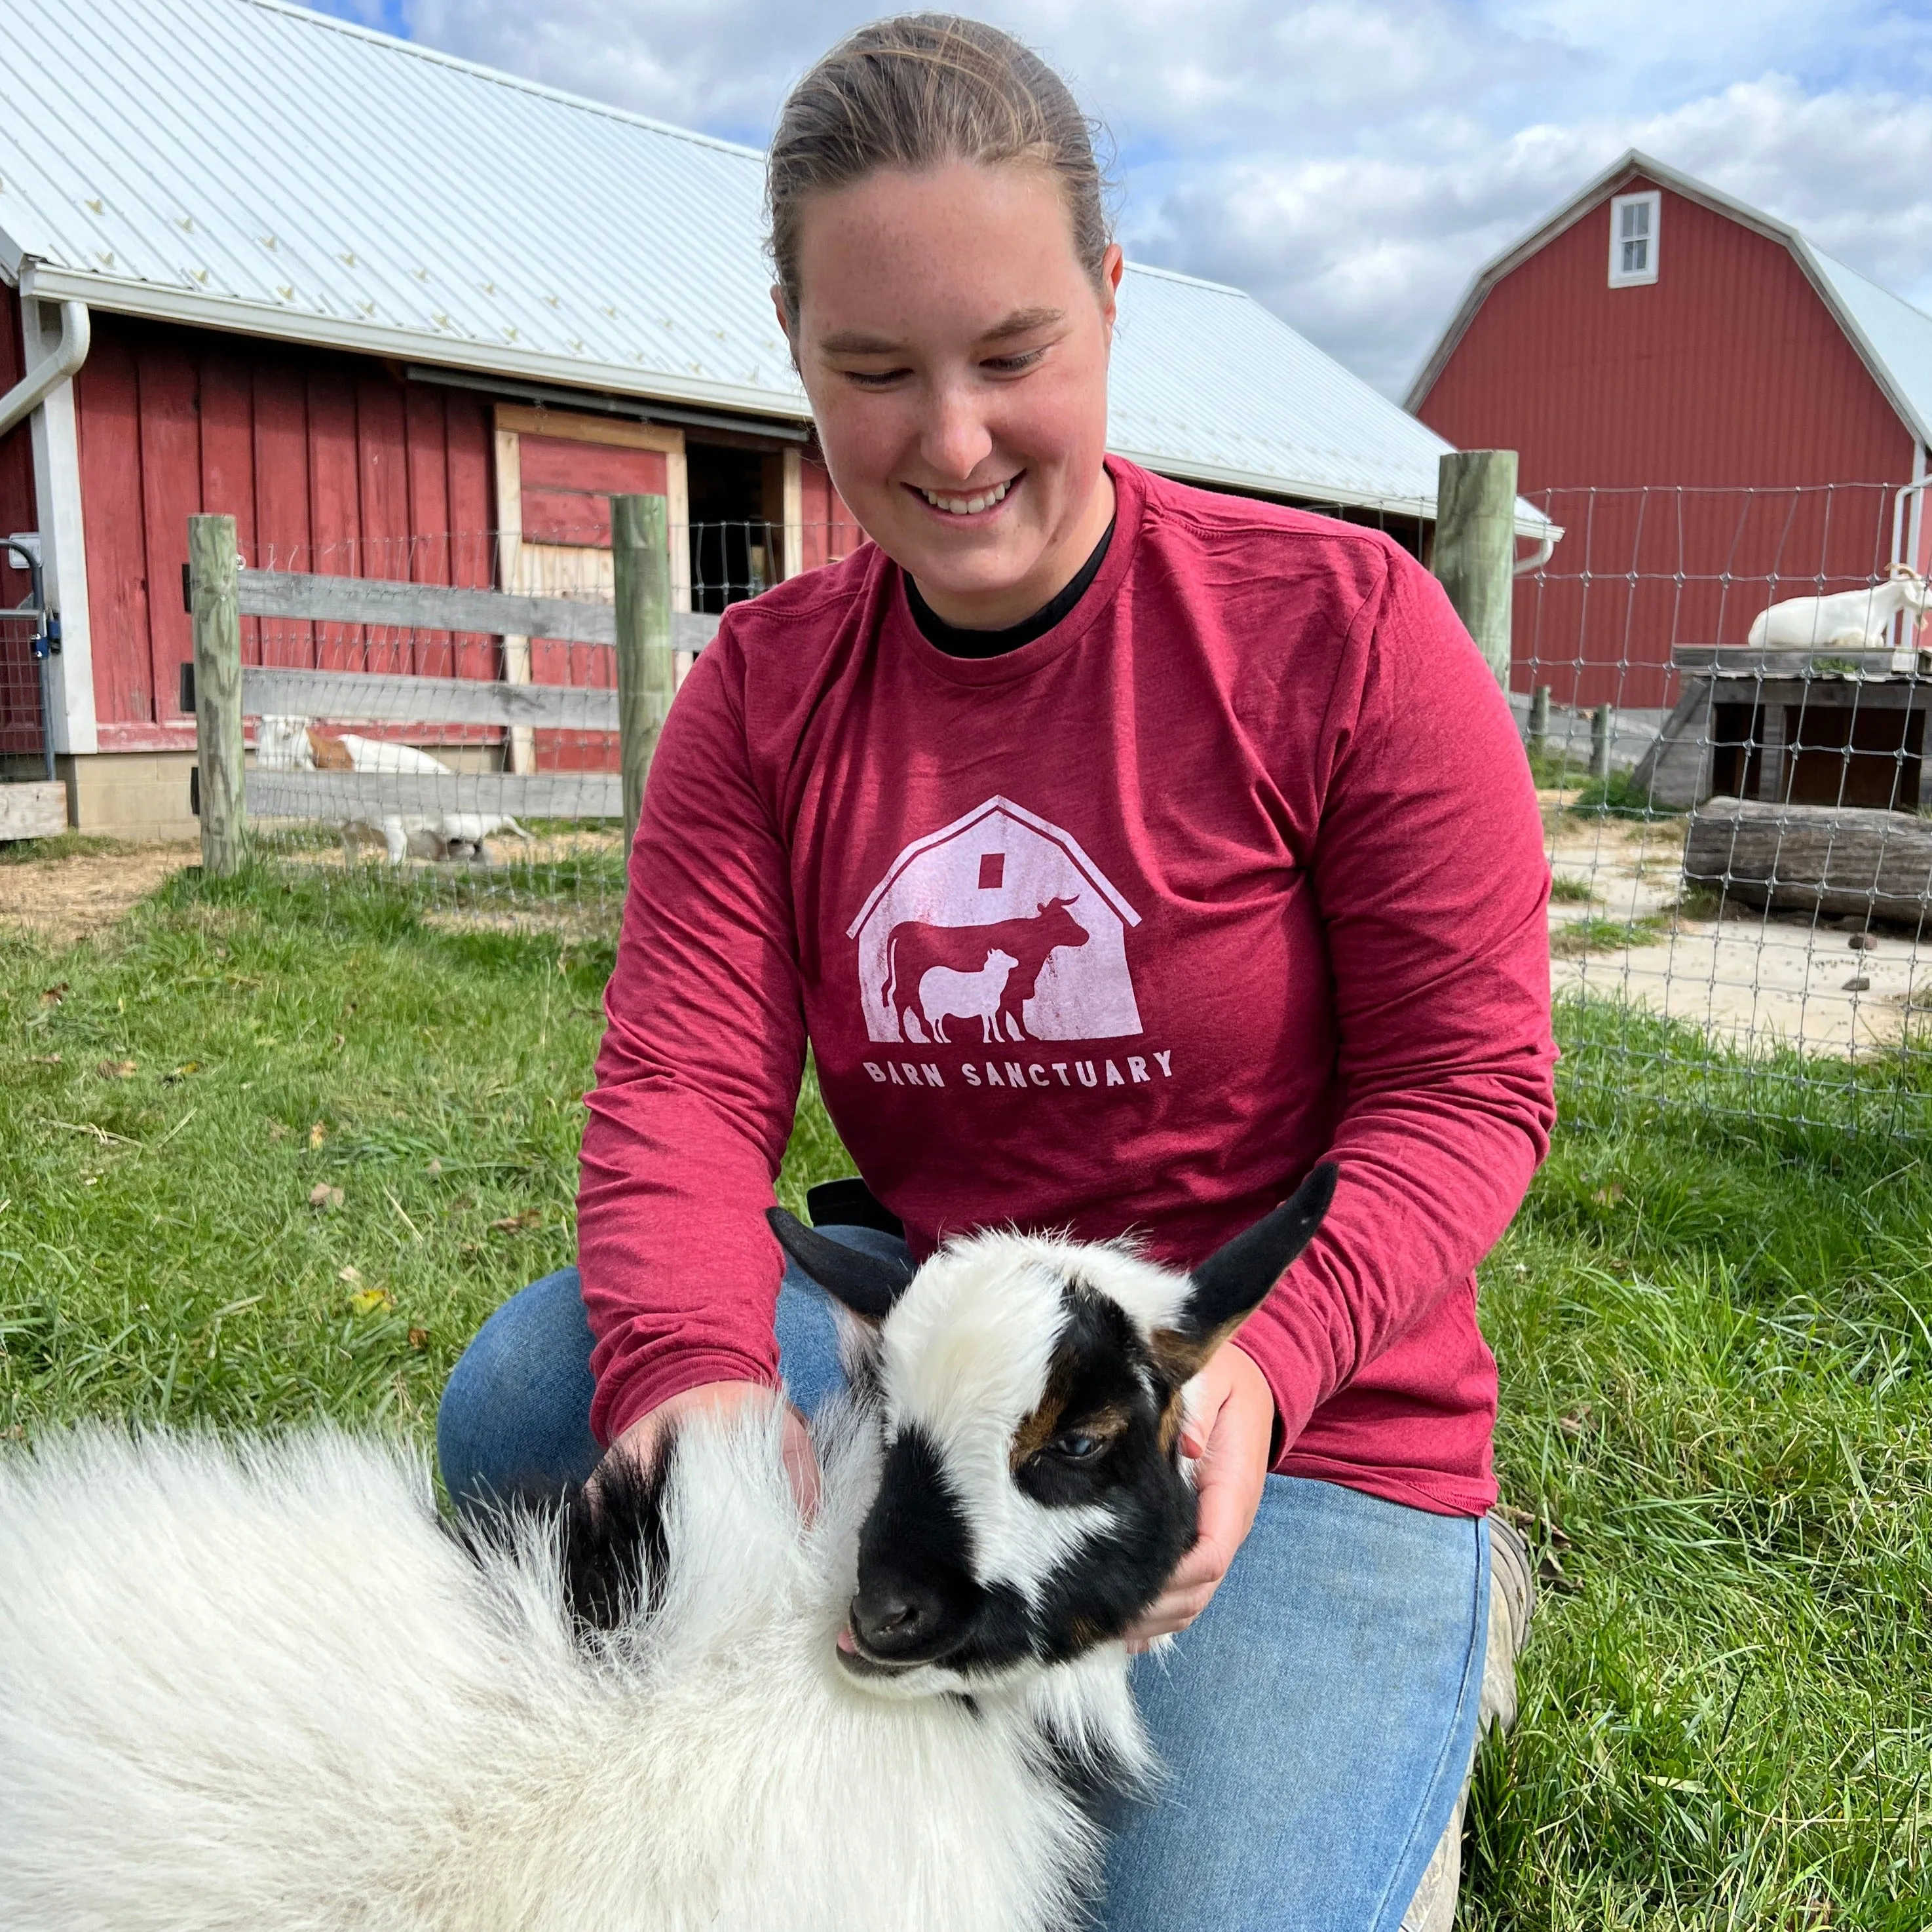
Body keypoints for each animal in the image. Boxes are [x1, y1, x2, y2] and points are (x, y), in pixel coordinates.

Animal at [1754, 564, 1932, 653]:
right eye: (1922, 587)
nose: (1931, 604)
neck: (1877, 605)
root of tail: (1754, 629)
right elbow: (1870, 641)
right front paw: (1834, 644)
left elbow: (1879, 640)